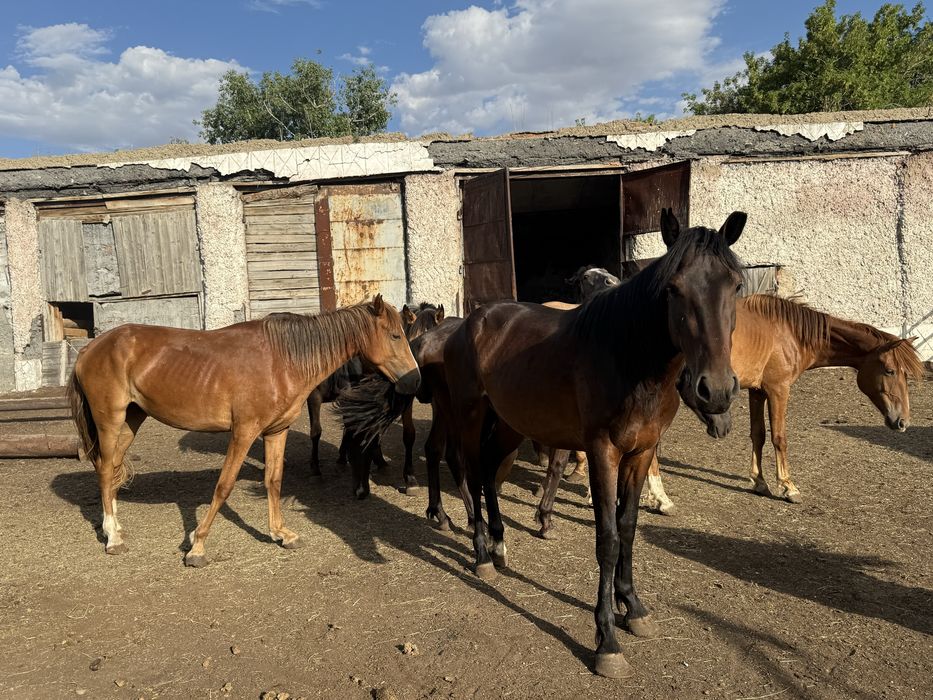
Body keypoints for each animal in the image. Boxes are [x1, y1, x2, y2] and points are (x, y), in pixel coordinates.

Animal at [68, 295, 420, 567]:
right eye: (395, 336)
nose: (415, 380)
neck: (282, 361)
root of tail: (89, 349)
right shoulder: (244, 432)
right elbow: (223, 486)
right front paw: (197, 546)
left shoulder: (277, 431)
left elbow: (274, 480)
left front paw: (281, 533)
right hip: (110, 421)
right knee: (105, 471)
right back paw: (113, 539)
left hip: (132, 419)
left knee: (112, 468)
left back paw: (114, 528)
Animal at [442, 209, 746, 678]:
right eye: (674, 289)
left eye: (735, 286)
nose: (715, 391)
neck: (627, 356)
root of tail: (472, 320)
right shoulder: (603, 453)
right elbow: (607, 539)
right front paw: (607, 640)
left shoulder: (640, 453)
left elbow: (629, 527)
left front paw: (633, 608)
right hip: (473, 415)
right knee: (475, 473)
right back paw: (481, 556)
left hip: (511, 421)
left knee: (491, 472)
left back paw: (498, 544)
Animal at [643, 294, 923, 510]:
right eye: (890, 370)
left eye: (904, 373)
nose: (902, 421)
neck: (788, 333)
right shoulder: (779, 390)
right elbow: (779, 437)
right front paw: (788, 486)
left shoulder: (758, 391)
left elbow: (758, 435)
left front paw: (760, 482)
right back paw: (661, 498)